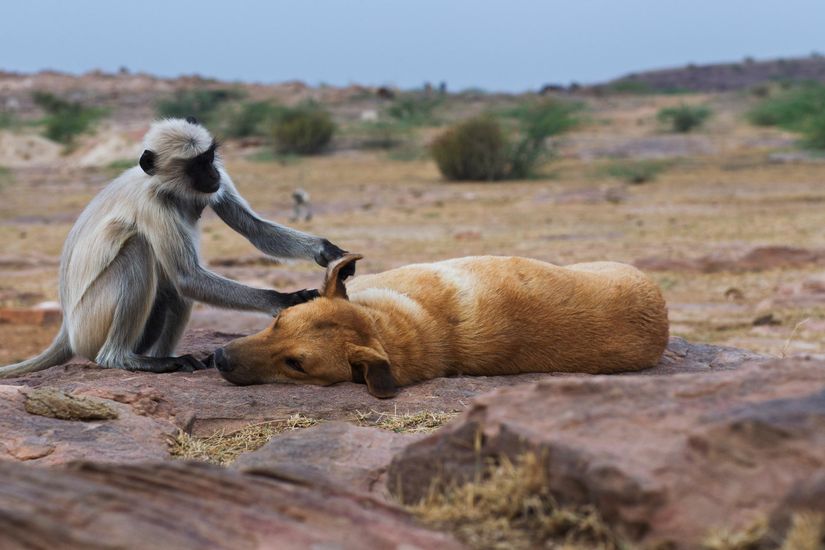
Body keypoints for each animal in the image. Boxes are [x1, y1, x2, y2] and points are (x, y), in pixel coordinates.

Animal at [0, 117, 350, 380]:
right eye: (196, 165)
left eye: (209, 158)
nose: (213, 172)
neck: (165, 187)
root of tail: (66, 330)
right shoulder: (153, 204)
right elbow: (187, 276)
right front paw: (286, 300)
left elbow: (255, 230)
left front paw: (328, 252)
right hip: (90, 324)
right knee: (142, 253)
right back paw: (124, 359)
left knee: (172, 291)